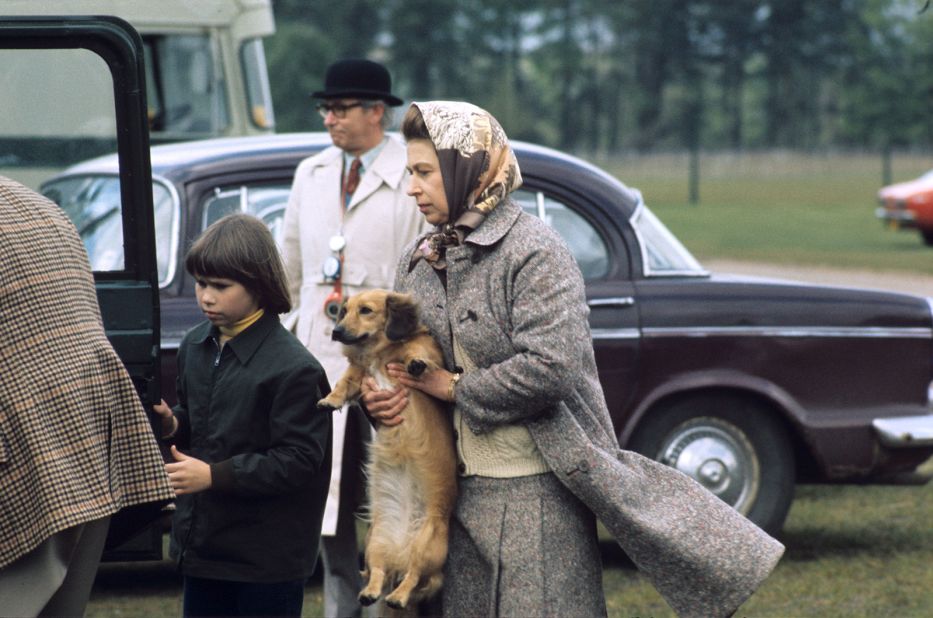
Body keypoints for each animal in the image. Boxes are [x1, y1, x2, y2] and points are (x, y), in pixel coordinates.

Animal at [316, 288, 456, 608]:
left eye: (366, 310)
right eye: (345, 310)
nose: (336, 332)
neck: (378, 354)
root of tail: (401, 550)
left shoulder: (426, 352)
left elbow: (420, 354)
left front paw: (416, 363)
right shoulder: (359, 373)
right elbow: (345, 383)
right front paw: (330, 400)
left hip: (427, 546)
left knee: (413, 578)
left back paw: (398, 597)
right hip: (374, 542)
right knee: (379, 573)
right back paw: (370, 593)